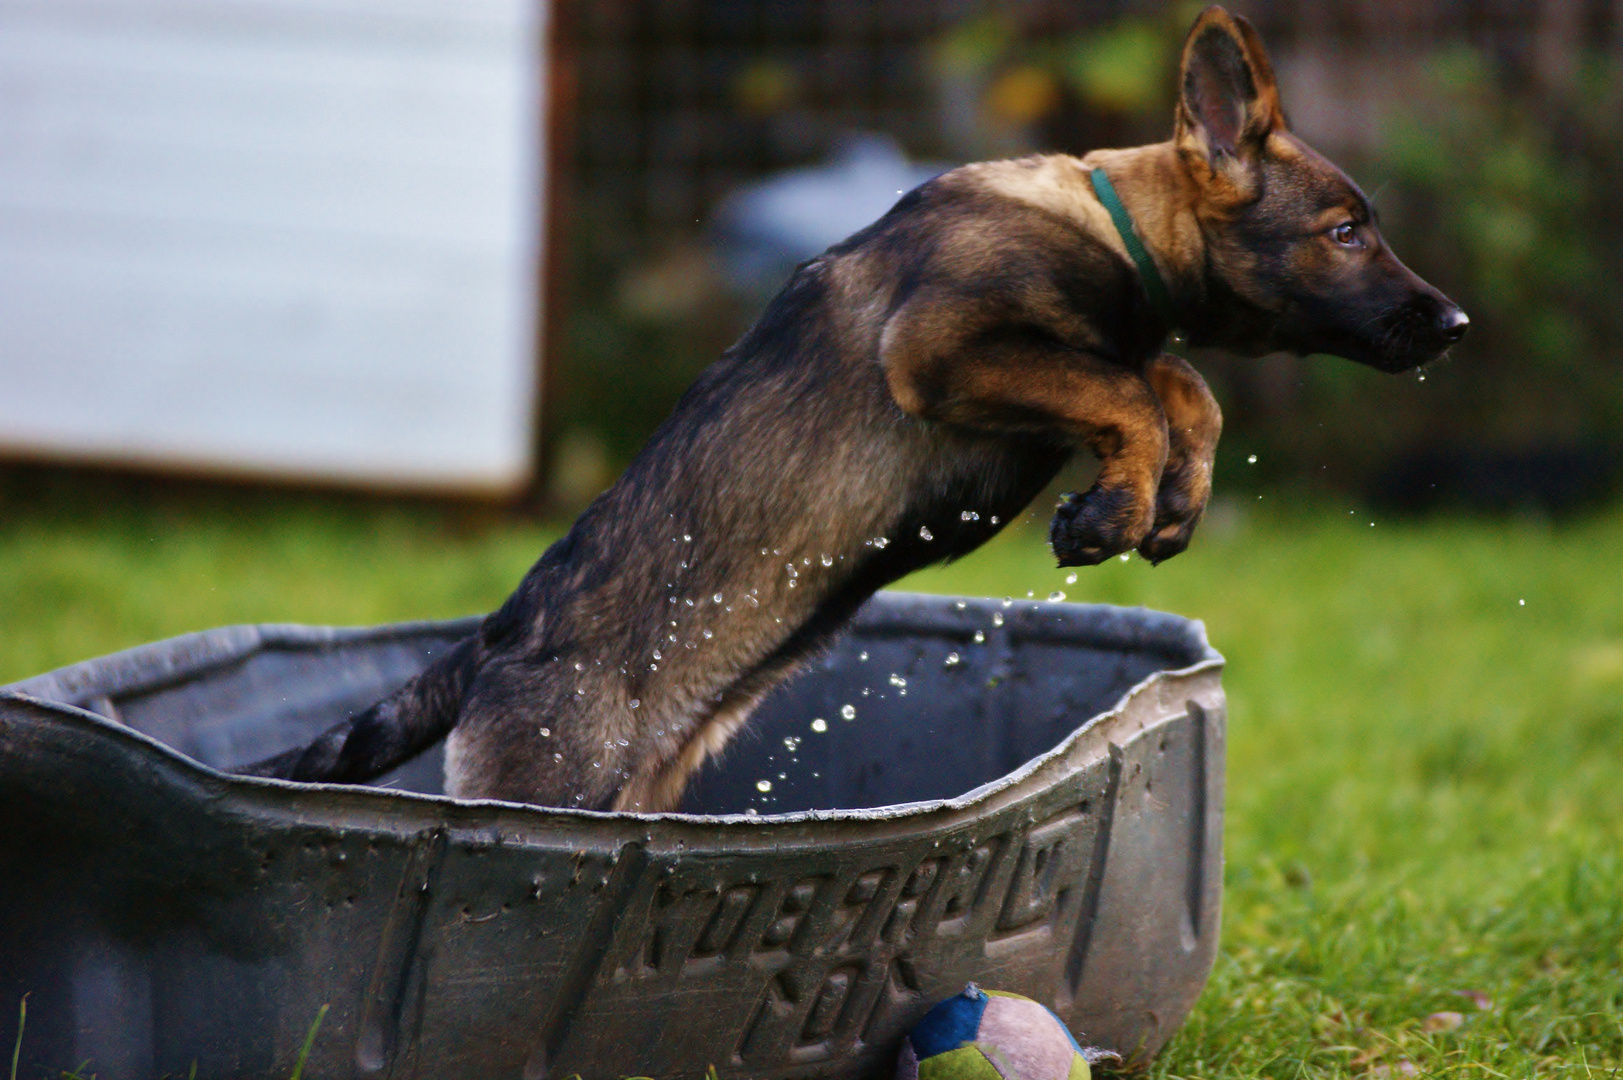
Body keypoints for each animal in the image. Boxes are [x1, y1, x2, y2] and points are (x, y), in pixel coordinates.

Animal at [243, 6, 1473, 808]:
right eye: (1345, 233)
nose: (1457, 324)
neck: (1109, 224)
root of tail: (495, 637)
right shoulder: (942, 350)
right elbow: (1131, 386)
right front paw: (1115, 510)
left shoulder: (1080, 348)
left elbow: (1176, 385)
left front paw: (1168, 500)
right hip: (548, 789)